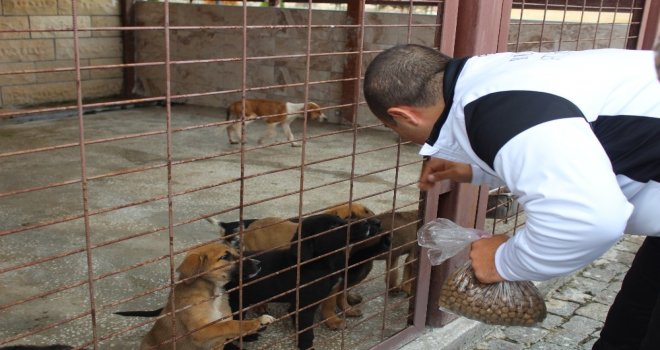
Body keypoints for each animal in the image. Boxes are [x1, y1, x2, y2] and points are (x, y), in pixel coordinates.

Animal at [139, 242, 274, 348]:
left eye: (237, 252)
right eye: (225, 256)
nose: (259, 263)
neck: (212, 295)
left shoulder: (218, 340)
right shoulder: (200, 331)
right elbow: (229, 324)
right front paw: (257, 322)